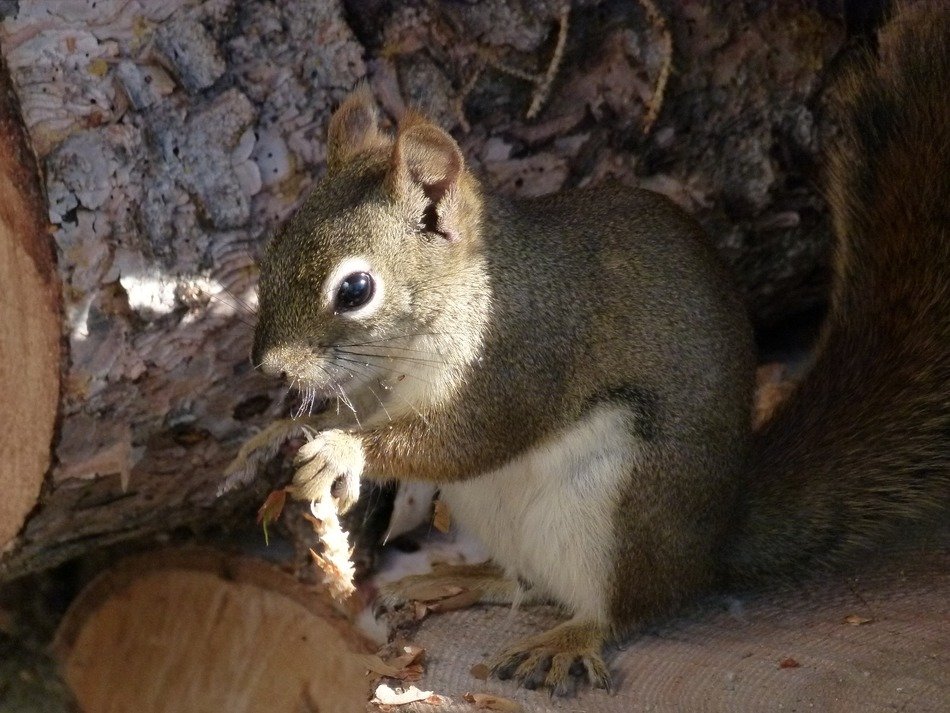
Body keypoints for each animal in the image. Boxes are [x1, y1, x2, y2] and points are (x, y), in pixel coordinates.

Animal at [243, 1, 948, 695]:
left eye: (356, 289)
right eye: (274, 248)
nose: (270, 367)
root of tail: (711, 546)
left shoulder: (523, 357)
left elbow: (470, 439)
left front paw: (341, 449)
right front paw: (279, 435)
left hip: (621, 507)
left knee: (624, 607)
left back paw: (569, 640)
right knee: (522, 582)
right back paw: (455, 580)